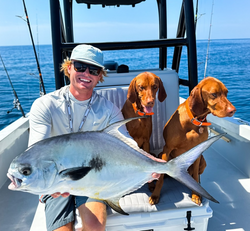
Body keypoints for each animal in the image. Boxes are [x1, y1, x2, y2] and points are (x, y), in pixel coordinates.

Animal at [149, 76, 235, 205]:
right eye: (213, 94)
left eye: (226, 92)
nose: (233, 110)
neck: (195, 120)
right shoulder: (167, 148)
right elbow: (161, 178)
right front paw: (155, 196)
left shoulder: (198, 152)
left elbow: (195, 176)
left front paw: (196, 194)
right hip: (161, 154)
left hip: (203, 161)